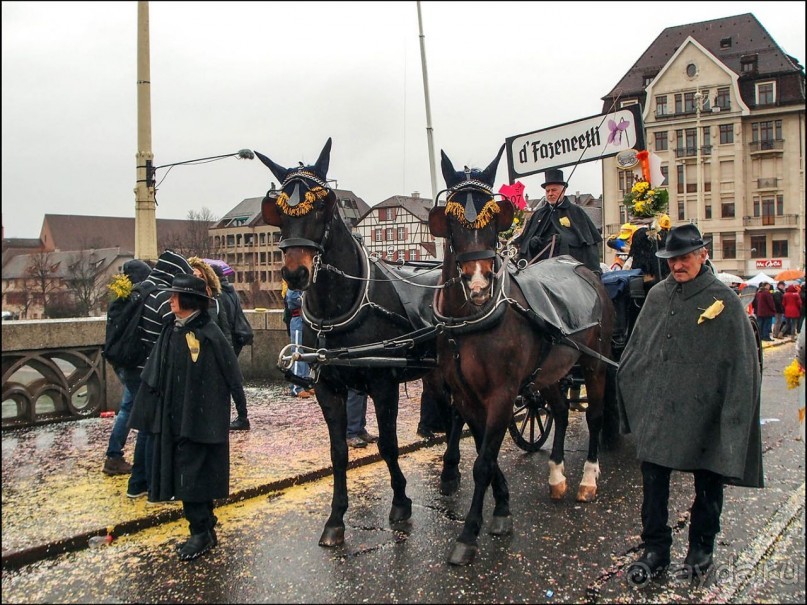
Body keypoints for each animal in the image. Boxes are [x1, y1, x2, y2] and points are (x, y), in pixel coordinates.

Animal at [432, 146, 616, 568]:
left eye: (492, 218)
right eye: (451, 217)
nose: (478, 284)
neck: (472, 321)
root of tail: (583, 269)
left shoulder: (501, 394)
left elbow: (483, 463)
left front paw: (469, 534)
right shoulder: (466, 397)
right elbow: (487, 455)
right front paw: (502, 510)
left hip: (596, 363)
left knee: (595, 416)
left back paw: (587, 479)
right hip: (549, 373)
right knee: (560, 412)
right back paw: (557, 476)